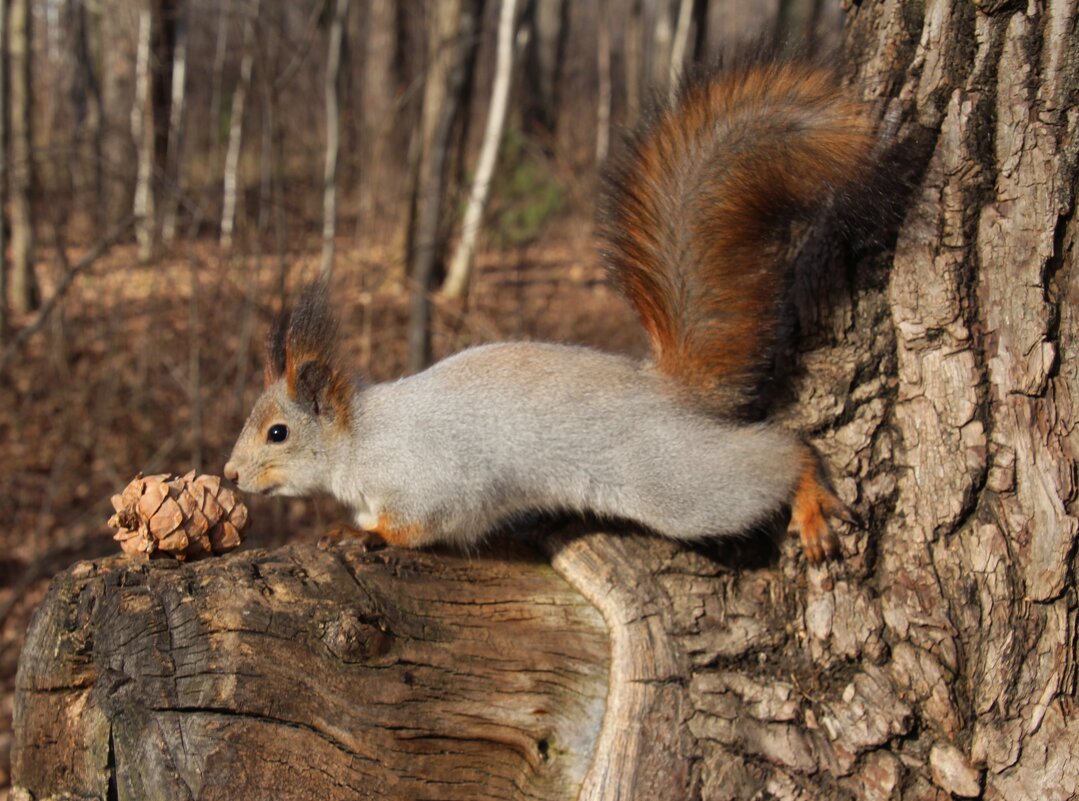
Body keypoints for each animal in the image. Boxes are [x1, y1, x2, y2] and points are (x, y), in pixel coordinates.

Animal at [223, 58, 871, 565]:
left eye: (278, 433)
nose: (229, 475)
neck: (359, 441)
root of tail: (666, 388)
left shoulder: (430, 480)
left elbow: (424, 523)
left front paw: (364, 535)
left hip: (675, 483)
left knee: (773, 459)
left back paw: (809, 495)